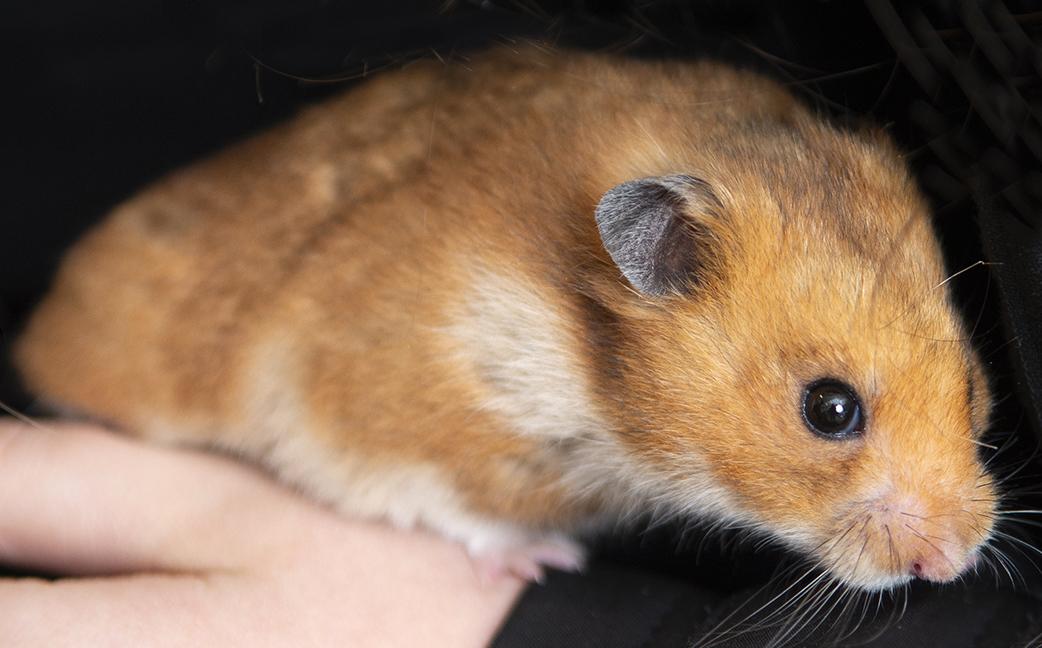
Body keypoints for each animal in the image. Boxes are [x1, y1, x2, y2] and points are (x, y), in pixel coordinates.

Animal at [14, 45, 997, 590]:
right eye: (829, 409)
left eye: (975, 389)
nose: (955, 564)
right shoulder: (370, 423)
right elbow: (451, 504)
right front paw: (546, 561)